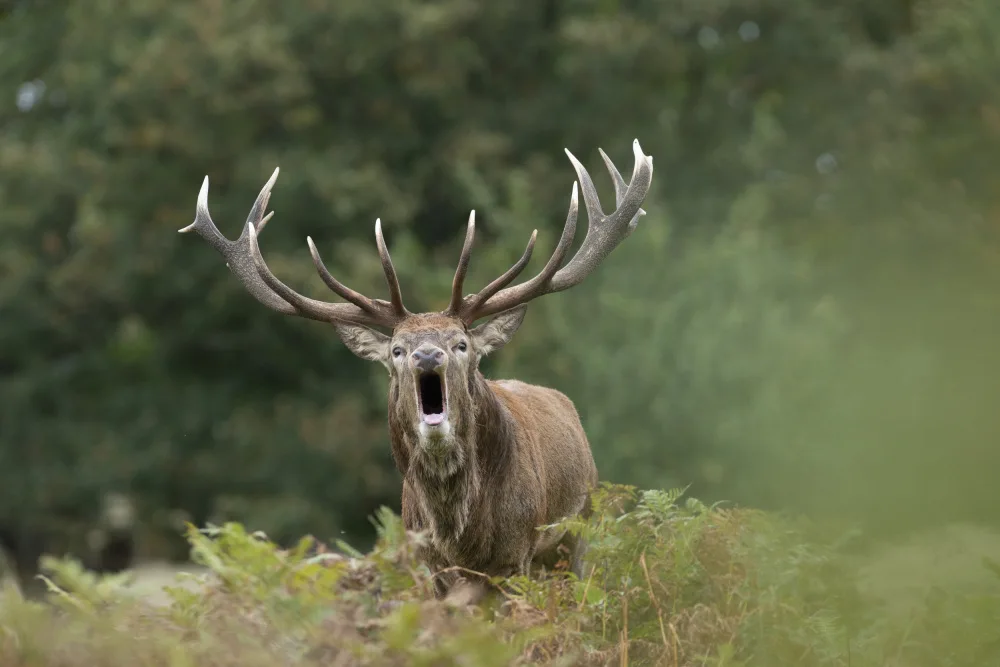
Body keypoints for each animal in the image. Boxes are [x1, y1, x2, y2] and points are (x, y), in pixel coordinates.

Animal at [178, 139, 653, 604]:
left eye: (462, 344)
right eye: (397, 350)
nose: (427, 356)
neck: (459, 535)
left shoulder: (515, 556)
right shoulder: (431, 564)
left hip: (576, 534)